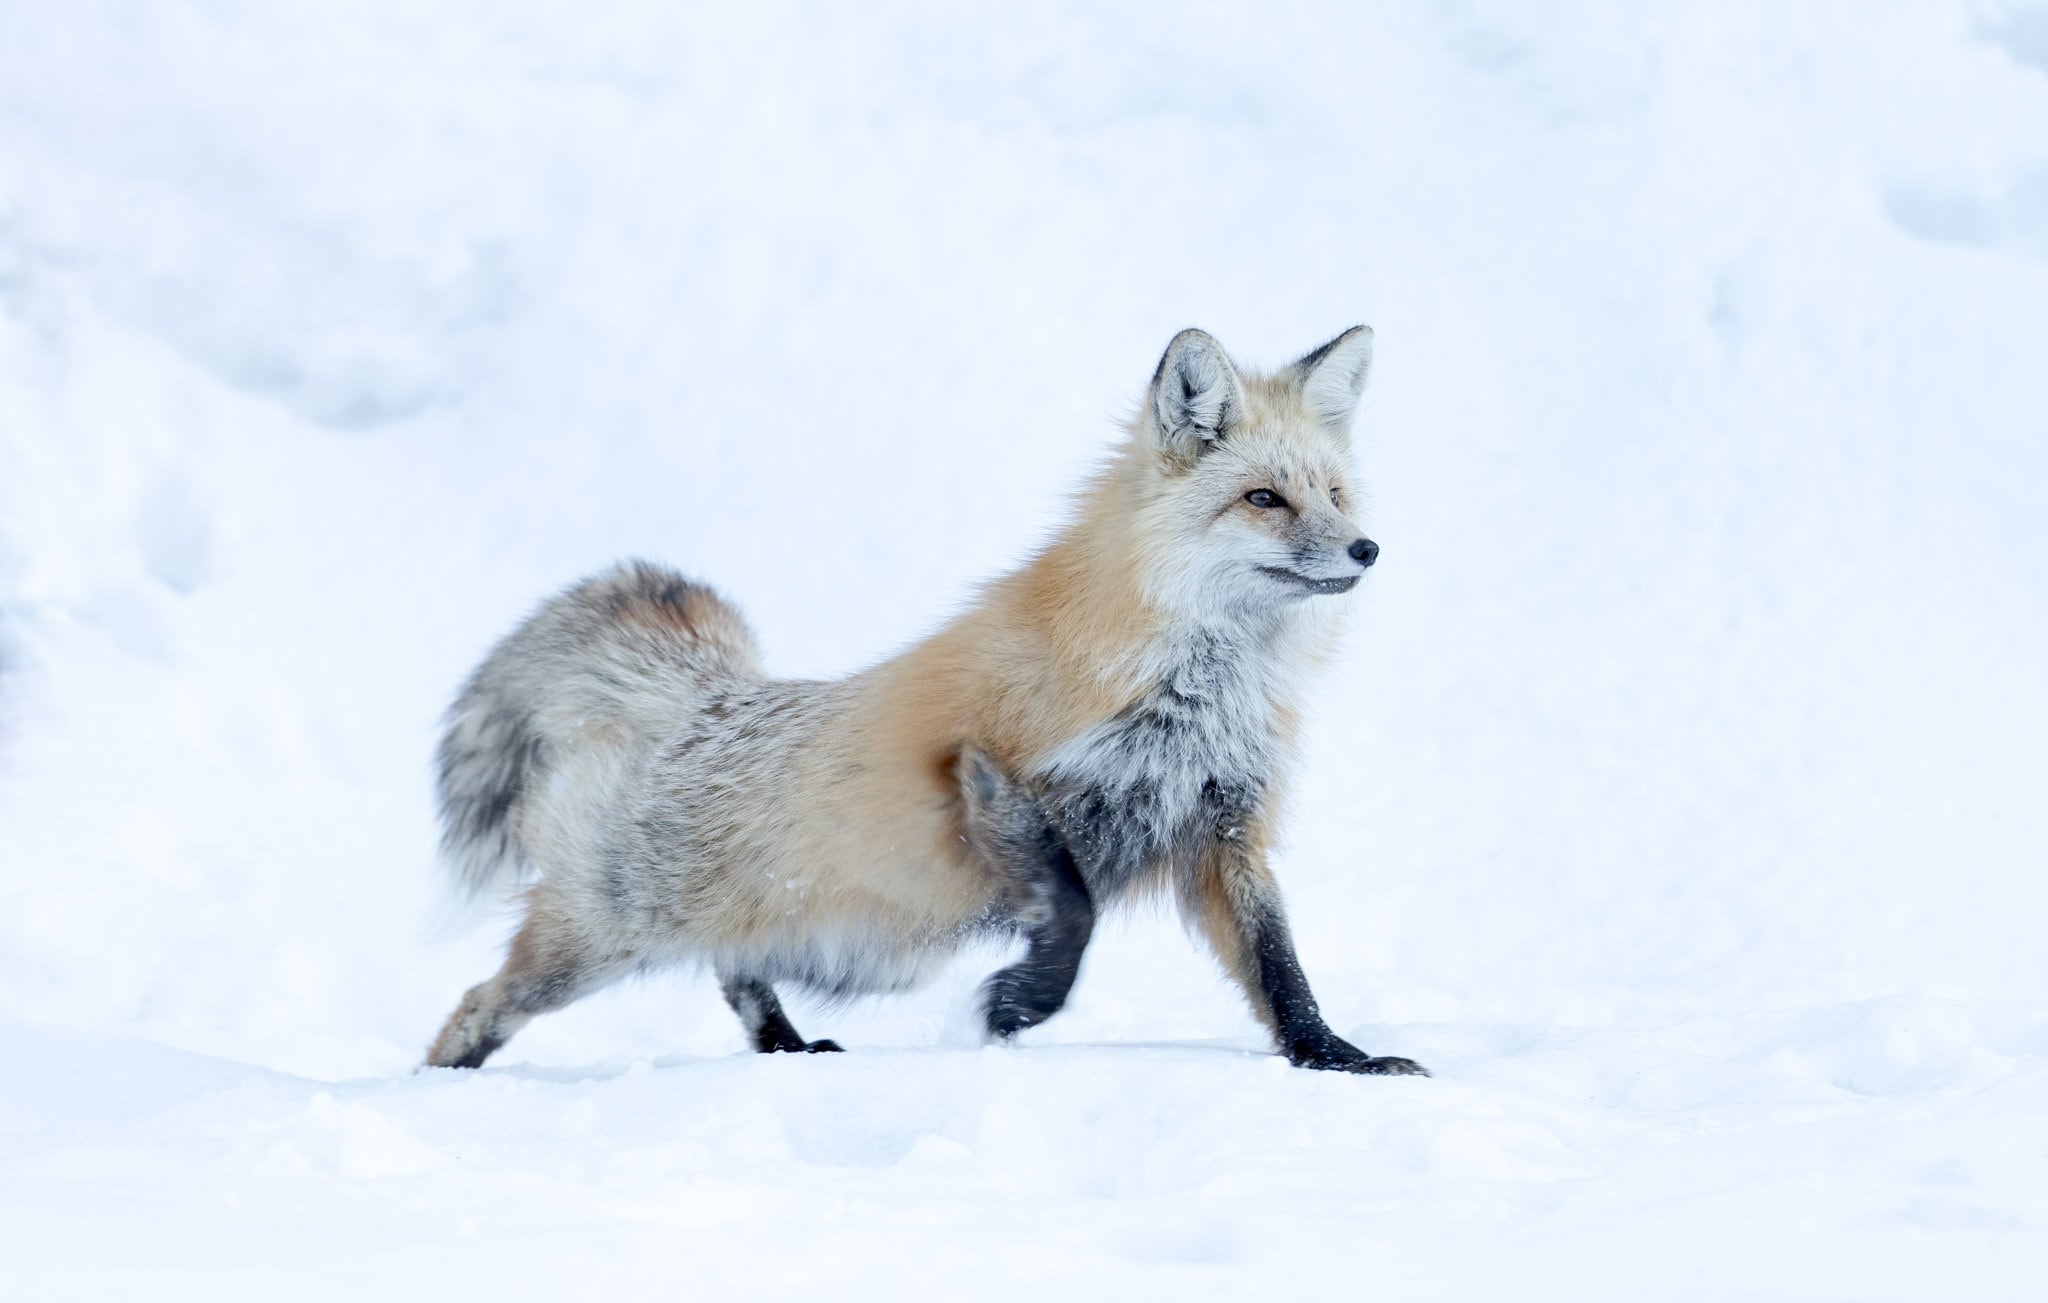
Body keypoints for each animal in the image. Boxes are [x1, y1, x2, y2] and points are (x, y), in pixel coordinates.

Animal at [425, 324, 1426, 1078]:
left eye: (1335, 494)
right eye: (1264, 499)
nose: (1368, 549)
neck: (1193, 690)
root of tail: (698, 693)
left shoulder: (1224, 827)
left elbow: (1280, 968)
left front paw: (1336, 1059)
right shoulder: (985, 769)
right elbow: (1076, 912)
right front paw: (1018, 1004)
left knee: (735, 973)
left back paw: (787, 1047)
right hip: (592, 942)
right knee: (473, 1007)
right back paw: (441, 1084)